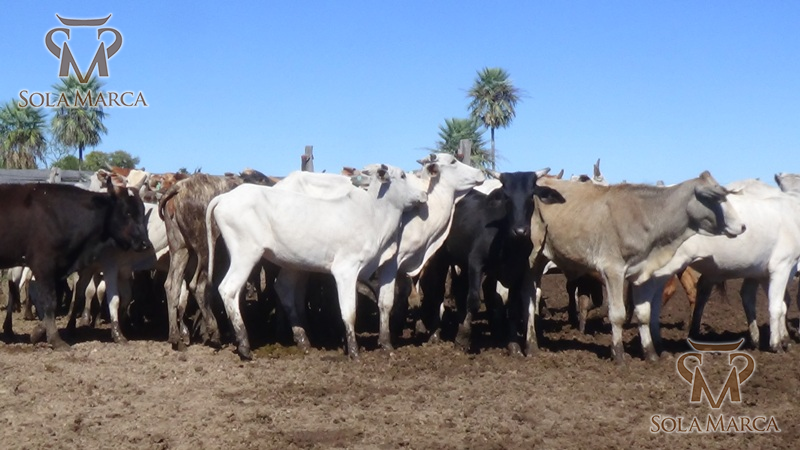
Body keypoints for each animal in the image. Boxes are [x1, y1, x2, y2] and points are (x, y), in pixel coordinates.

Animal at [0, 179, 151, 348]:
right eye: (128, 213)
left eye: (142, 211)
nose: (145, 243)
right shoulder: (43, 265)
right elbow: (50, 301)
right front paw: (56, 340)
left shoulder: (59, 268)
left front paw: (38, 332)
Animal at [207, 164, 427, 360]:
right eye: (402, 175)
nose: (424, 194)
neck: (373, 214)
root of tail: (225, 197)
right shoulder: (345, 269)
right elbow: (349, 311)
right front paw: (354, 352)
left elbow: (384, 302)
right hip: (245, 254)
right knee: (228, 289)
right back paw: (244, 346)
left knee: (282, 289)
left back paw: (302, 341)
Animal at [419, 169, 551, 355]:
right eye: (507, 197)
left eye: (531, 196)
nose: (520, 231)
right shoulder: (475, 263)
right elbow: (474, 301)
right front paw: (462, 338)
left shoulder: (517, 272)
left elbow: (513, 310)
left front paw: (513, 346)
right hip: (441, 258)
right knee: (438, 293)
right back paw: (435, 334)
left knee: (460, 291)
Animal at [527, 171, 746, 364]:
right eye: (712, 197)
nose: (742, 226)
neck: (644, 214)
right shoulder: (612, 270)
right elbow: (617, 314)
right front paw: (618, 354)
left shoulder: (643, 274)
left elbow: (644, 314)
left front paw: (651, 354)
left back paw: (533, 342)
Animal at [644, 176, 800, 352]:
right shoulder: (782, 265)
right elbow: (777, 306)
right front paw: (776, 344)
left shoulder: (760, 272)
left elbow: (769, 301)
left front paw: (772, 339)